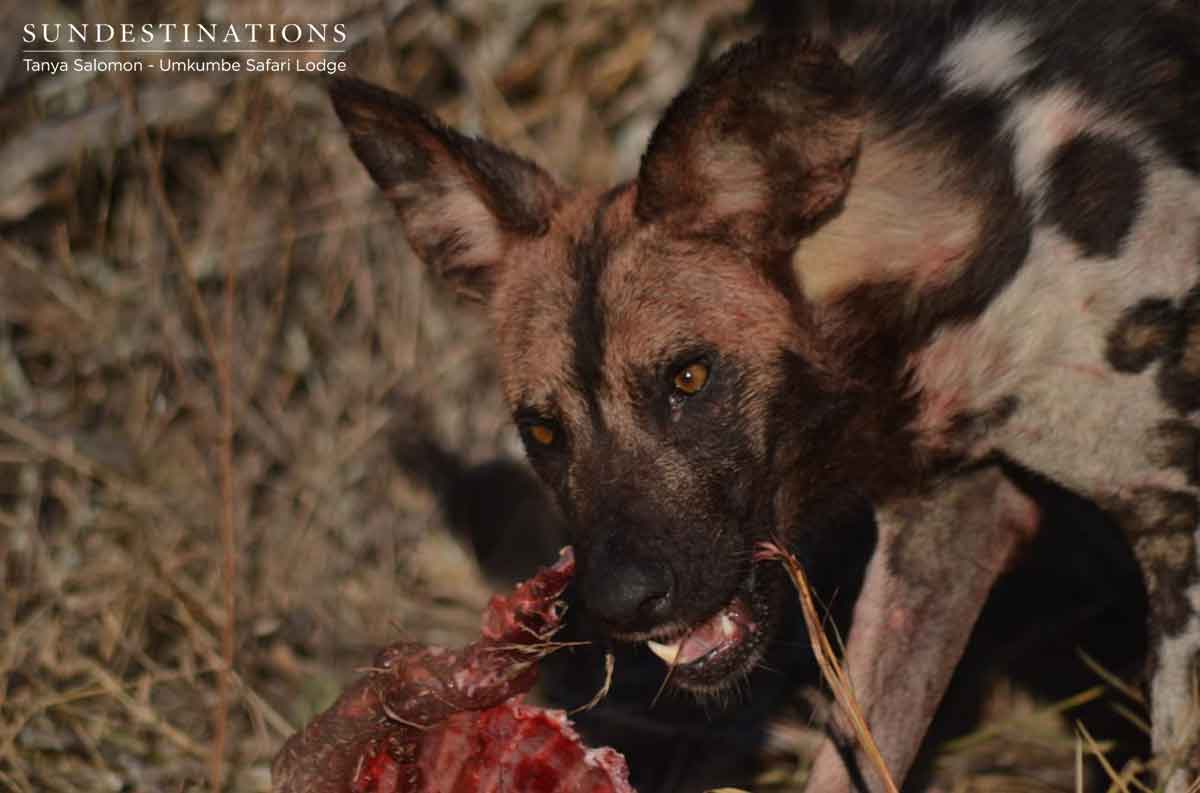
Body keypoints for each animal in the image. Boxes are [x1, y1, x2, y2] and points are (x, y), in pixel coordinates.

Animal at [330, 1, 1200, 789]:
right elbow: (855, 754)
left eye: (688, 377)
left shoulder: (1175, 522)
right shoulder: (950, 519)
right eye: (543, 430)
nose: (622, 599)